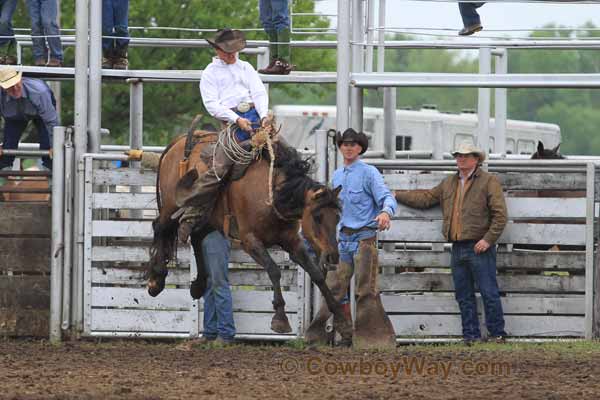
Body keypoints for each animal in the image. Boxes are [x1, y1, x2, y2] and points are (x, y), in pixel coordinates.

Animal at [145, 126, 352, 340]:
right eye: (318, 217)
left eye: (338, 217)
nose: (333, 256)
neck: (273, 194)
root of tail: (177, 142)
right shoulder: (250, 241)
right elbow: (274, 270)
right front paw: (280, 319)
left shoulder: (292, 241)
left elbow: (316, 274)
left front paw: (342, 320)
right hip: (171, 205)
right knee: (160, 227)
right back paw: (156, 280)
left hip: (209, 217)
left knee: (196, 236)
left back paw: (198, 285)